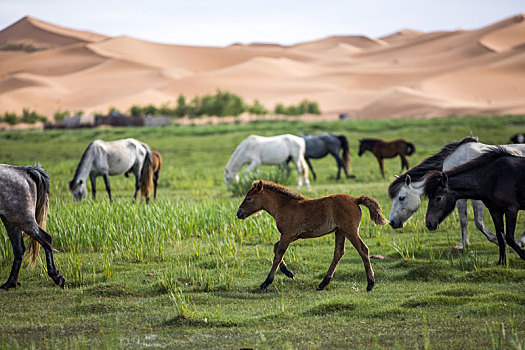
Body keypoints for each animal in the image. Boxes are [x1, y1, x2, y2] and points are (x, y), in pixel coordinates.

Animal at [235, 179, 386, 292]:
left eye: (249, 198)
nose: (238, 213)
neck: (284, 206)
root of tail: (355, 200)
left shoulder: (288, 234)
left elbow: (278, 254)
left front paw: (266, 282)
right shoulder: (293, 235)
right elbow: (275, 248)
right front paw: (289, 272)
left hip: (350, 230)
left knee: (363, 249)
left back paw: (370, 284)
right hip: (340, 231)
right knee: (338, 253)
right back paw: (323, 283)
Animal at [386, 136, 524, 249]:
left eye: (401, 198)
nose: (391, 222)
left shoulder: (474, 198)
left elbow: (477, 223)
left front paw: (495, 239)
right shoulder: (460, 197)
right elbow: (464, 221)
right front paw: (463, 244)